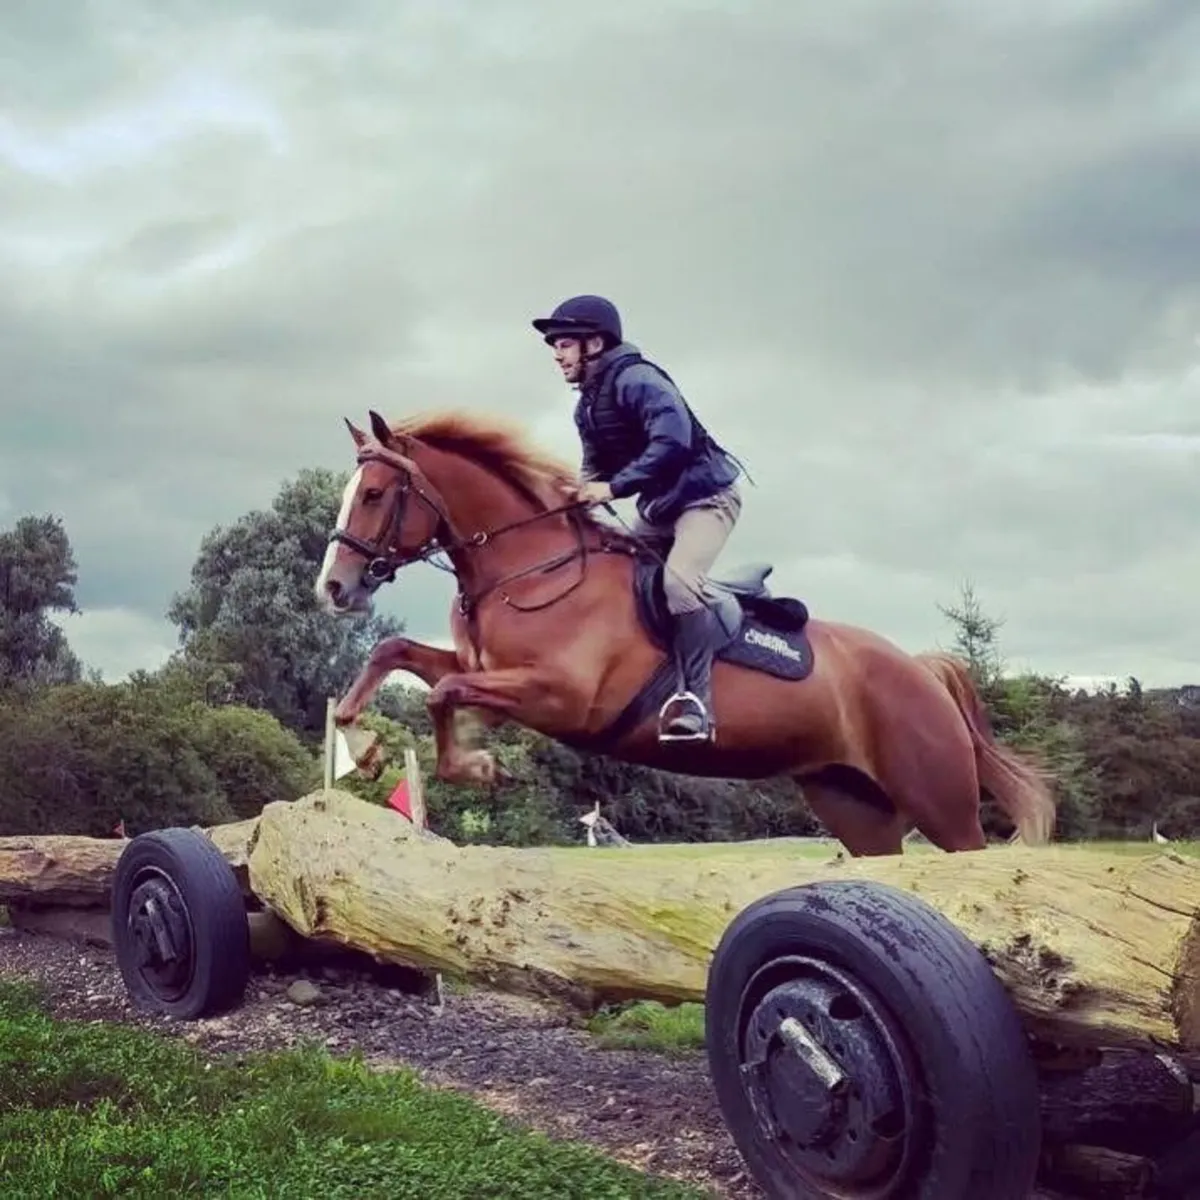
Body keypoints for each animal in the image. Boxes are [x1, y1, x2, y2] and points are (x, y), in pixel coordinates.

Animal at [314, 409, 1057, 857]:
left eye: (374, 495)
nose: (334, 588)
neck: (527, 567)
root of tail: (920, 670)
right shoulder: (480, 666)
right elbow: (396, 653)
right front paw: (363, 744)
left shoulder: (557, 696)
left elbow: (445, 696)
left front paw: (478, 764)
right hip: (854, 805)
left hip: (942, 804)